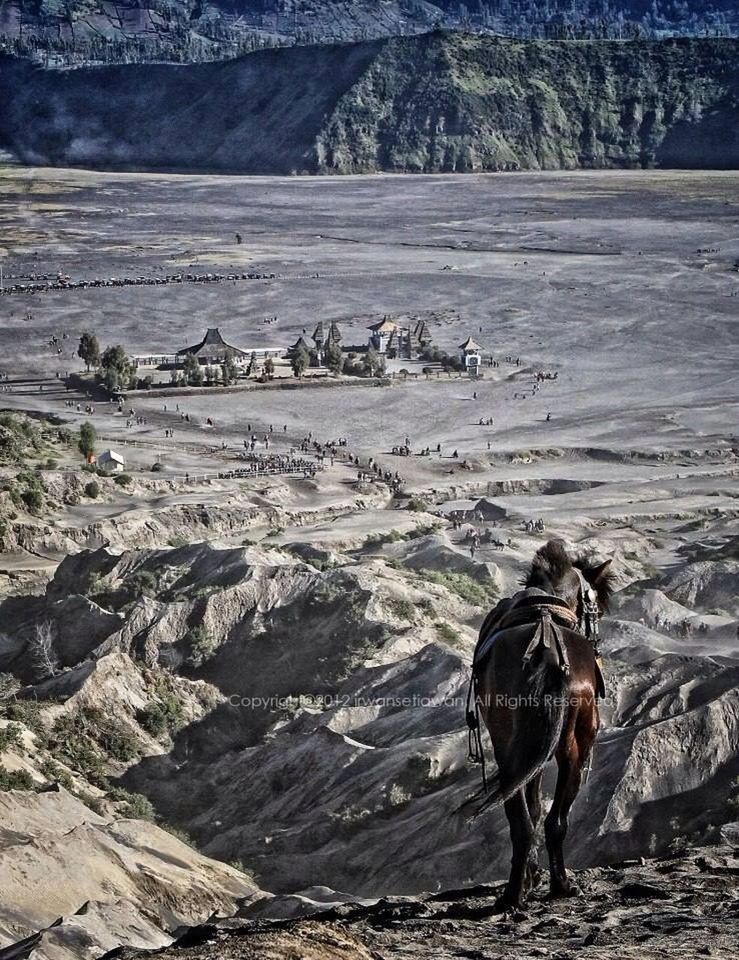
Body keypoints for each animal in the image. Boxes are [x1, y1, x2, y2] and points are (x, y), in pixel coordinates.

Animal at [472, 544, 616, 912]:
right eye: (595, 607)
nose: (597, 642)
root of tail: (547, 651)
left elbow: (532, 806)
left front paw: (530, 877)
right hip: (572, 745)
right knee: (552, 820)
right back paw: (555, 885)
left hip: (515, 746)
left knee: (525, 819)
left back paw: (517, 891)